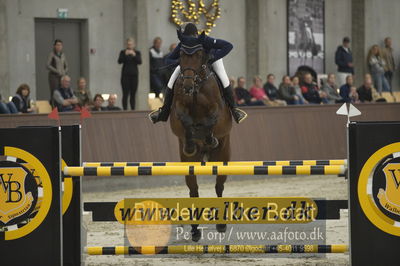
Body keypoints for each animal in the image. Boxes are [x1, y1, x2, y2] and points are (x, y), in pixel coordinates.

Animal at [170, 45, 233, 241]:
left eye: (199, 55)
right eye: (181, 55)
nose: (188, 86)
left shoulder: (217, 110)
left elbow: (212, 118)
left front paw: (209, 138)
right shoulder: (179, 109)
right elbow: (183, 118)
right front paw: (191, 142)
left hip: (223, 157)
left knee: (219, 186)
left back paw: (221, 225)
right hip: (188, 165)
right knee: (194, 190)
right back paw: (195, 230)